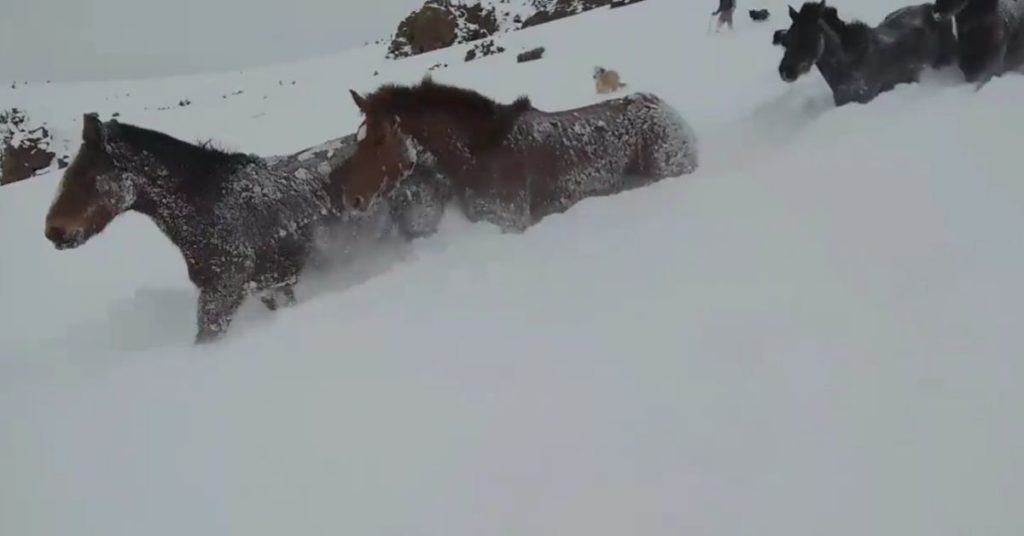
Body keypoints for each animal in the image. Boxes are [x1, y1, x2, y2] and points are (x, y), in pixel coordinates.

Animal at [332, 77, 698, 233]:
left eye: (379, 139)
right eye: (358, 138)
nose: (352, 199)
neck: (479, 157)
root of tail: (670, 112)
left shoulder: (510, 224)